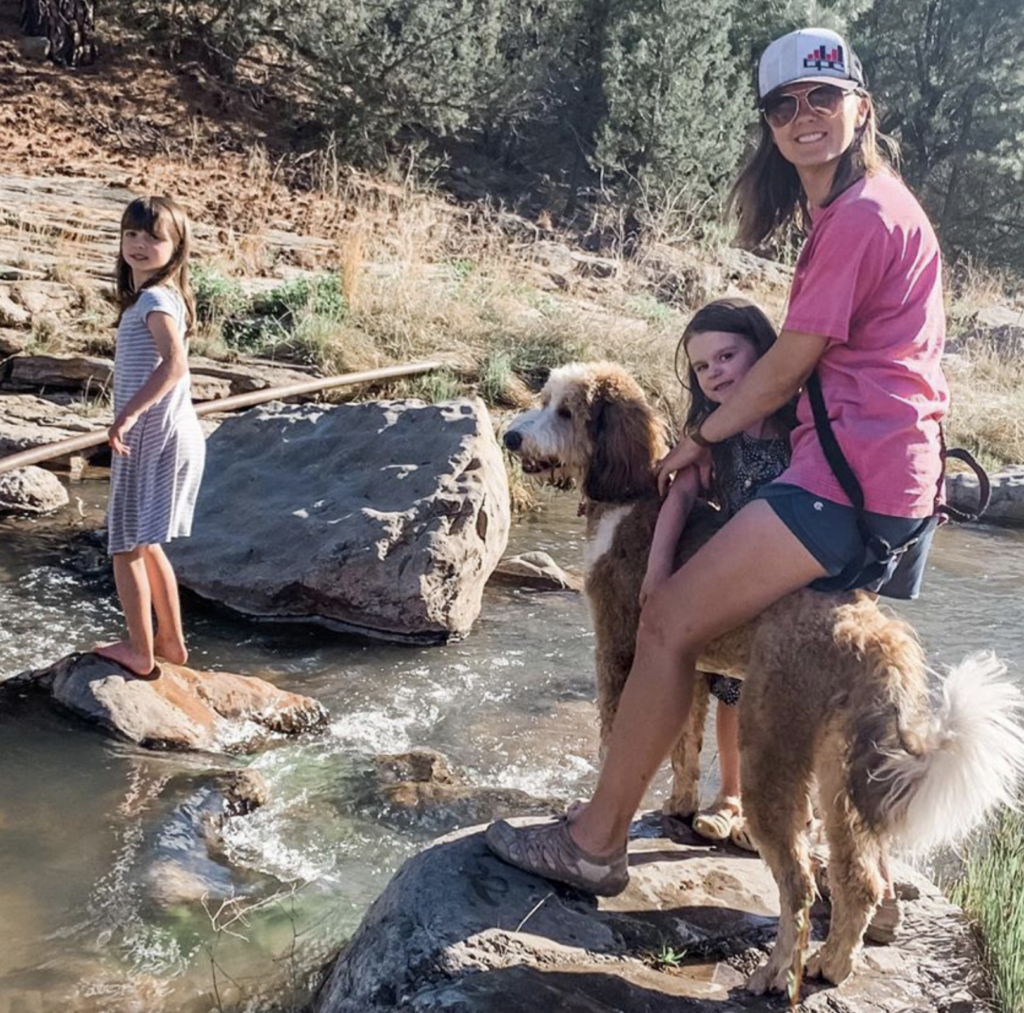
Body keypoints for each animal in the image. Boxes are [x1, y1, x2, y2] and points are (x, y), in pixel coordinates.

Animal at [499, 362, 1019, 987]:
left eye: (565, 412)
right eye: (544, 399)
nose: (509, 437)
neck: (633, 494)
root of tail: (872, 633)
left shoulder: (621, 646)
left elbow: (613, 739)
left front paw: (588, 819)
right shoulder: (689, 668)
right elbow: (685, 746)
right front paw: (678, 808)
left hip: (771, 748)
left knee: (798, 883)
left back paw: (776, 973)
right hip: (840, 771)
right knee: (859, 875)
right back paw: (832, 964)